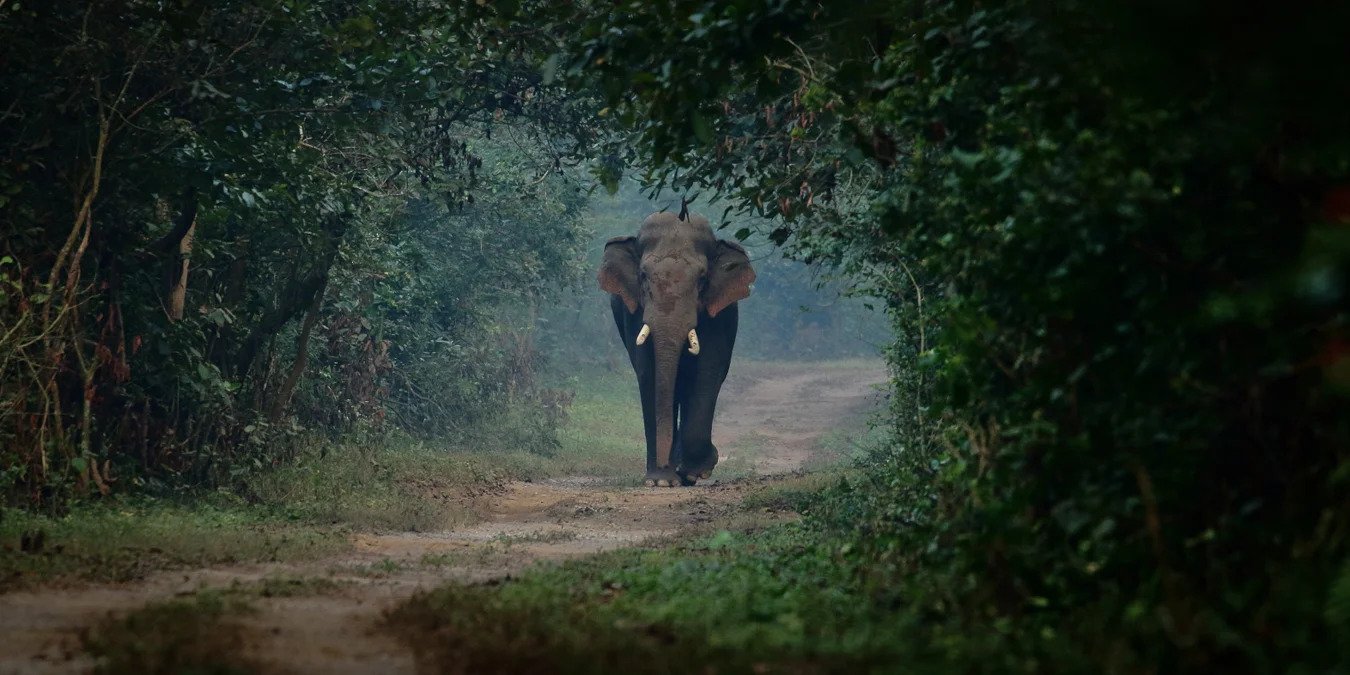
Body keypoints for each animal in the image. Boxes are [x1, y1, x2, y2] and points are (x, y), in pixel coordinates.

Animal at [602, 210, 761, 486]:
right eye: (643, 275)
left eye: (702, 279)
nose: (665, 467)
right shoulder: (633, 313)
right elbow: (649, 374)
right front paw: (661, 481)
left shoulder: (718, 315)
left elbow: (708, 371)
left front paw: (698, 470)